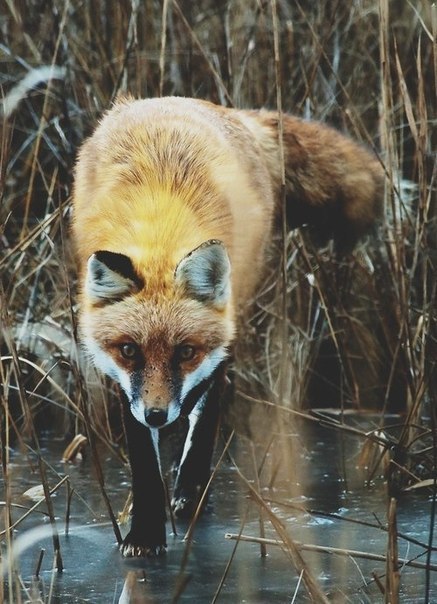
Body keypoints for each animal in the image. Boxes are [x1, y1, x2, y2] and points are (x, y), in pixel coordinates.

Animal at [73, 95, 384, 556]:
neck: (161, 222)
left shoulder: (214, 347)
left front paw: (187, 491)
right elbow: (144, 460)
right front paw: (145, 531)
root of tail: (226, 109)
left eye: (186, 352)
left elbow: (204, 413)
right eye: (129, 351)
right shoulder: (127, 386)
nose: (157, 414)